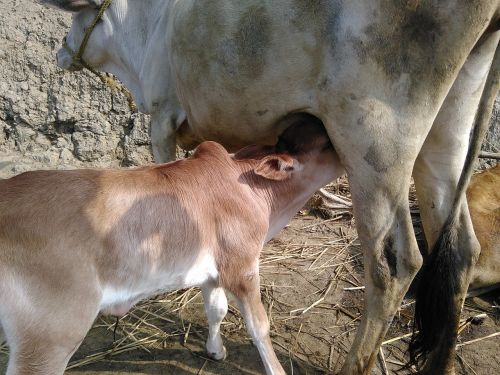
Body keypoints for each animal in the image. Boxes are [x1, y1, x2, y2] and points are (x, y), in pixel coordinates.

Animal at [0, 119, 344, 375]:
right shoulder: (242, 265)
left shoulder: (211, 269)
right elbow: (259, 326)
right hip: (49, 337)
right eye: (328, 144)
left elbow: (216, 309)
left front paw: (215, 350)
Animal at [45, 0, 498, 375]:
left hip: (375, 140)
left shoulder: (162, 117)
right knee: (459, 249)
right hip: (450, 129)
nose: (61, 52)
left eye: (75, 17)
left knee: (394, 263)